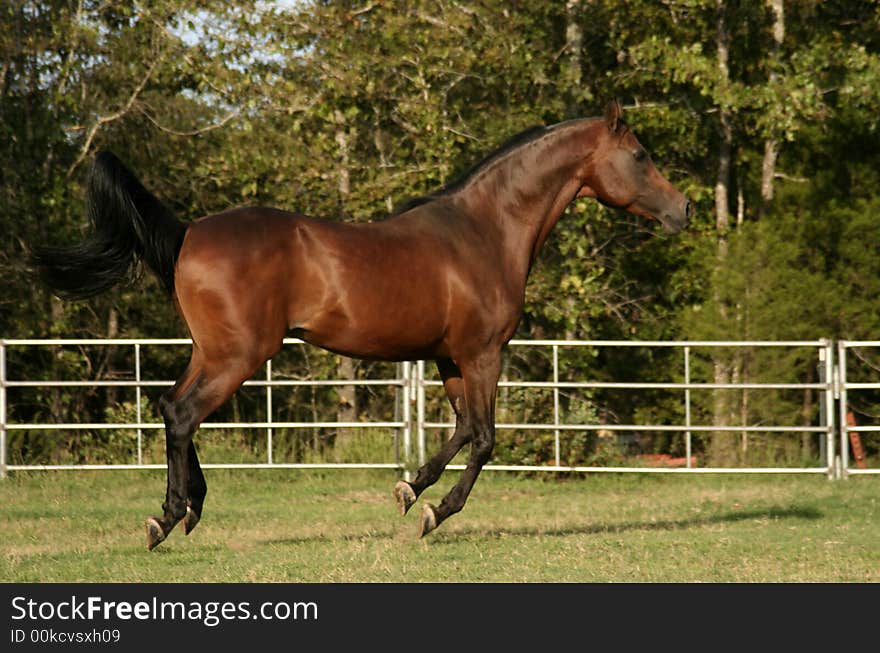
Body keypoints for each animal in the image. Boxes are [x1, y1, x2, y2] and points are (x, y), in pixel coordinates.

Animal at [31, 102, 692, 552]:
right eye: (641, 156)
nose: (683, 210)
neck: (484, 231)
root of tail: (191, 231)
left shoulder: (450, 358)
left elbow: (459, 432)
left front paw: (410, 491)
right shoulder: (482, 353)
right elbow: (483, 438)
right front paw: (434, 513)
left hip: (211, 351)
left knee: (173, 409)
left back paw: (189, 509)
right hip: (238, 356)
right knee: (184, 415)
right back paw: (166, 519)